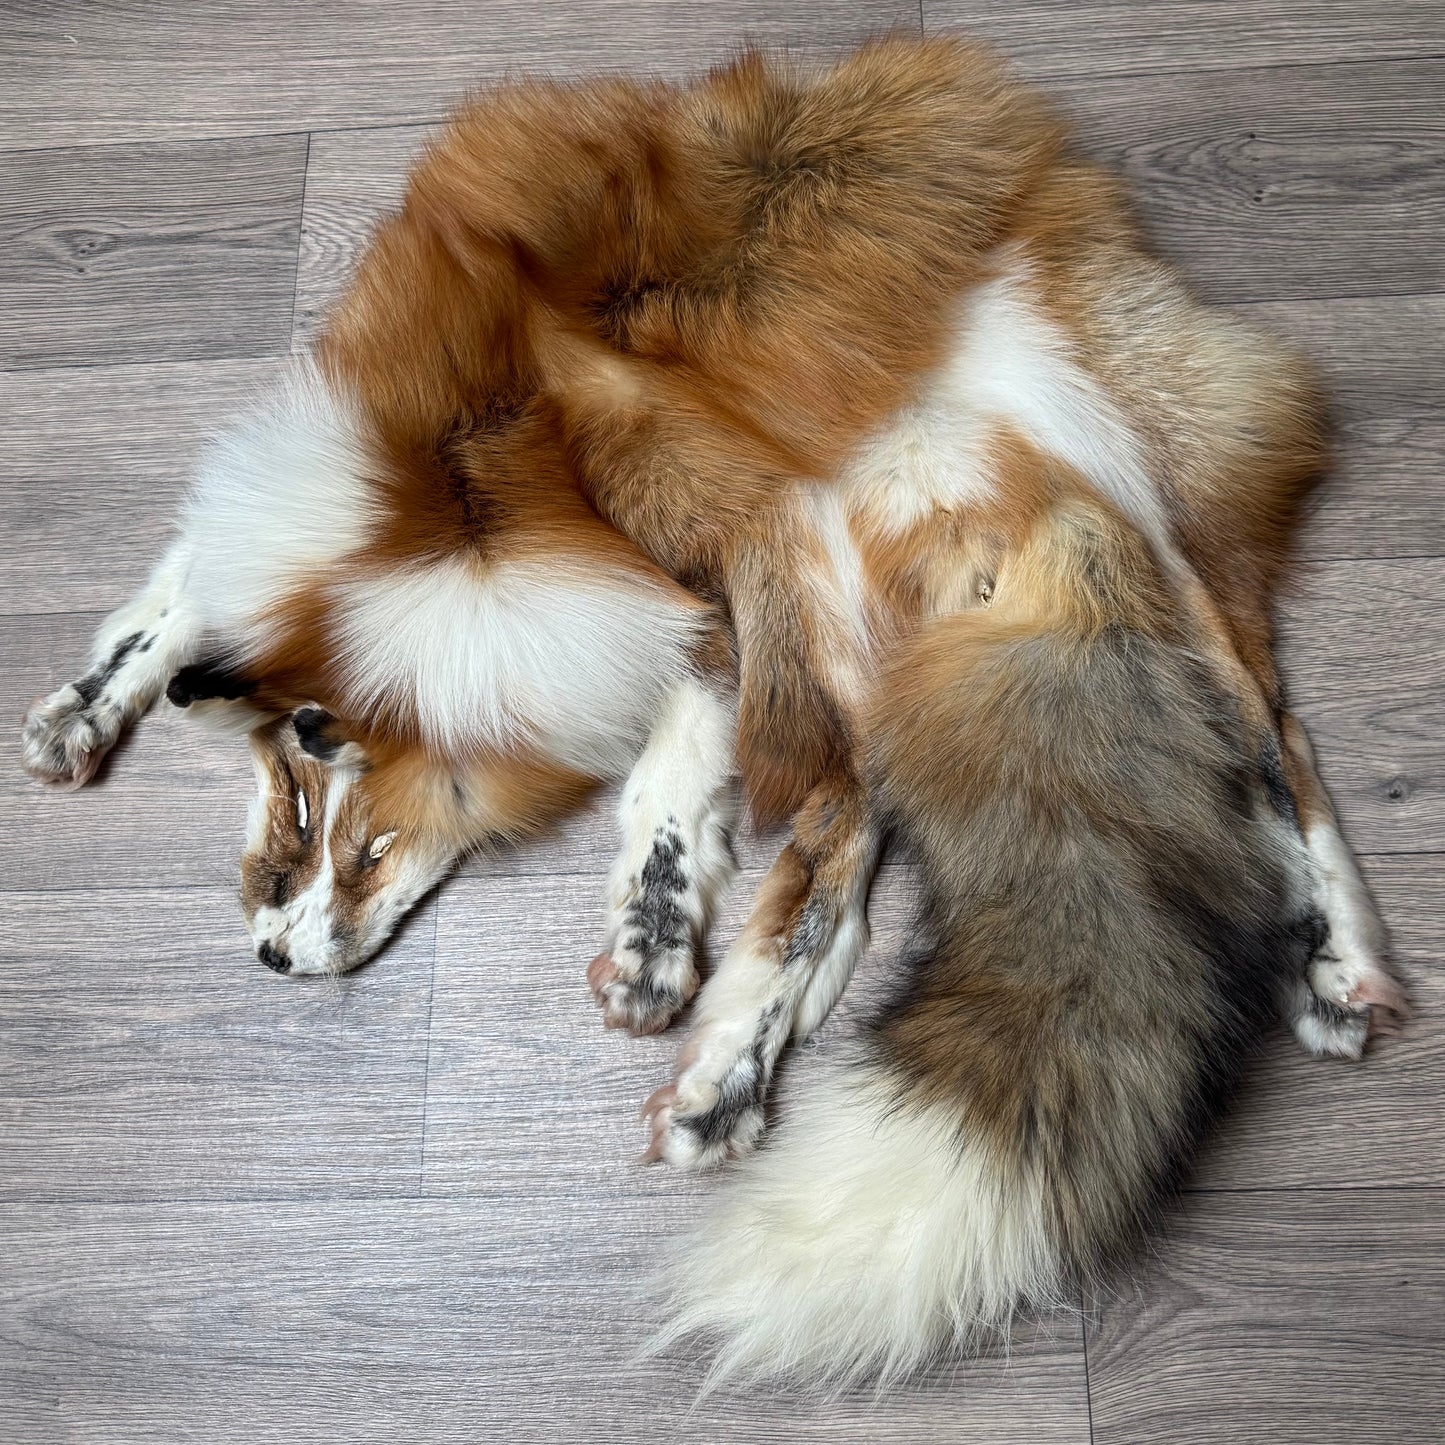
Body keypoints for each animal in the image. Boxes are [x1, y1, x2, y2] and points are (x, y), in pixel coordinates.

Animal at [21, 36, 1405, 1382]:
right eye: (293, 818)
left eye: (356, 842)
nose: (271, 957)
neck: (457, 495)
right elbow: (181, 581)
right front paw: (89, 701)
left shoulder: (693, 562)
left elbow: (672, 771)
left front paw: (652, 918)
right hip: (861, 602)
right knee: (867, 831)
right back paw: (736, 1069)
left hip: (1053, 524)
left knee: (1253, 733)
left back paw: (1320, 952)